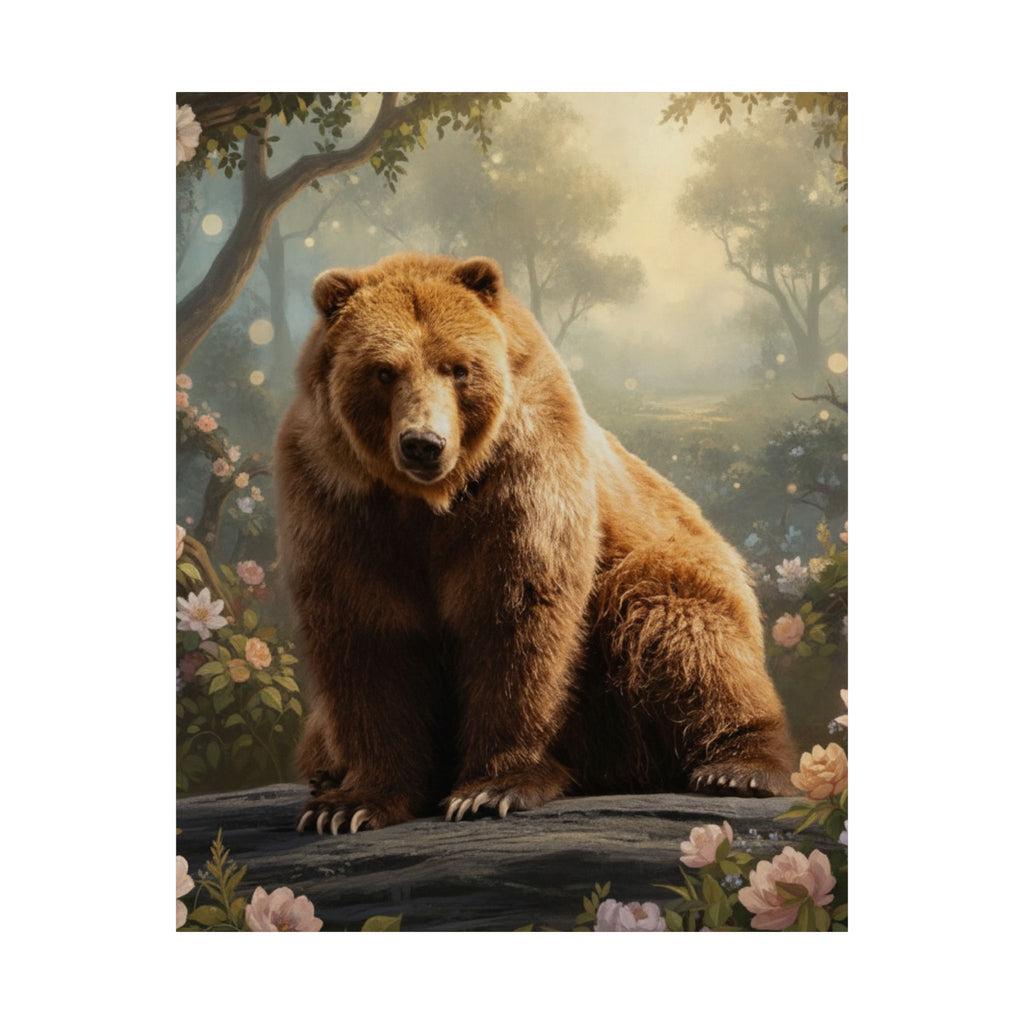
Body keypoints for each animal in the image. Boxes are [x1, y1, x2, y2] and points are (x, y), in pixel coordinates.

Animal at [274, 252, 795, 835]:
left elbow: (516, 617)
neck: (430, 500)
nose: (424, 444)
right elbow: (368, 637)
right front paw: (350, 803)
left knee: (677, 620)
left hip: (662, 583)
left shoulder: (523, 476)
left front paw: (489, 789)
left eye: (458, 367)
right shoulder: (339, 501)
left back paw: (739, 766)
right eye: (384, 371)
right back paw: (325, 772)